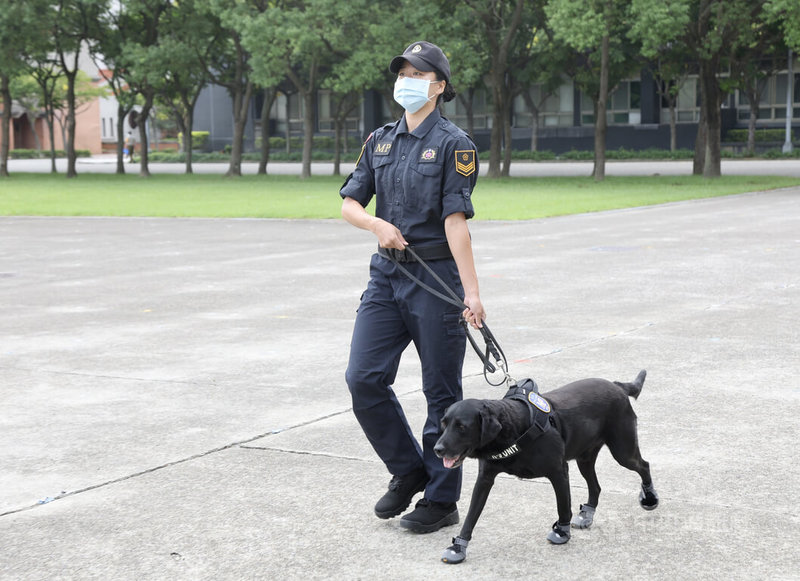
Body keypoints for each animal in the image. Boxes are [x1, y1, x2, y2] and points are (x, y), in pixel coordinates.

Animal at [434, 370, 660, 564]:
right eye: (444, 423)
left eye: (462, 427)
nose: (437, 449)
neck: (514, 429)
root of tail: (617, 386)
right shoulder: (484, 479)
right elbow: (471, 516)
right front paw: (458, 547)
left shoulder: (558, 471)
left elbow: (563, 505)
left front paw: (562, 531)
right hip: (585, 459)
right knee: (596, 486)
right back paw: (587, 514)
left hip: (623, 451)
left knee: (644, 465)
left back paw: (650, 497)